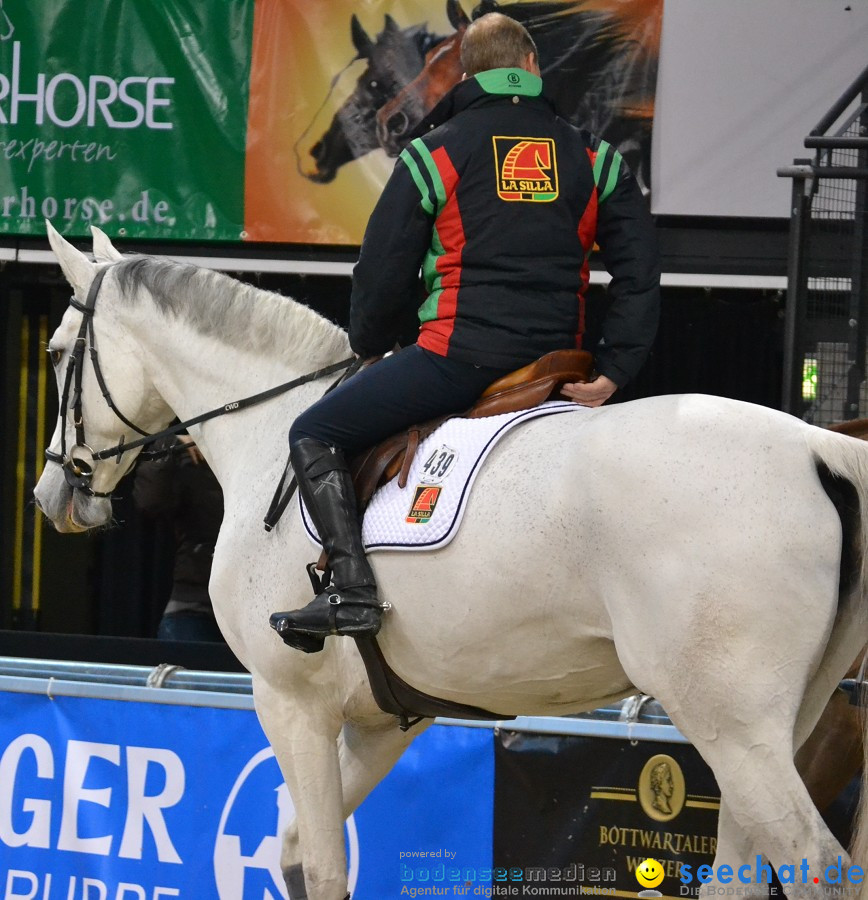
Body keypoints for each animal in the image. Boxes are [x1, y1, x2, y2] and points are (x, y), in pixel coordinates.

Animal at [37, 220, 868, 900]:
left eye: (54, 353)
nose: (52, 492)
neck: (268, 428)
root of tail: (815, 446)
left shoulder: (291, 702)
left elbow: (322, 867)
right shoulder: (386, 720)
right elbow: (299, 847)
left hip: (732, 727)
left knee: (817, 870)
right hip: (784, 726)